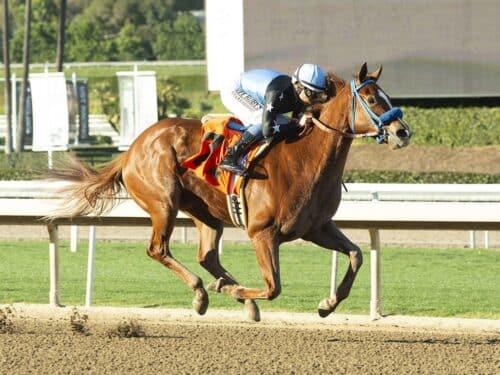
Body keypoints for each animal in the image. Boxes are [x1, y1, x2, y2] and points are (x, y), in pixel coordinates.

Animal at [49, 63, 410, 322]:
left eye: (388, 97)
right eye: (373, 99)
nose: (402, 131)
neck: (305, 160)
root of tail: (132, 149)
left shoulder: (316, 227)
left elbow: (356, 254)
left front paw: (327, 303)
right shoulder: (263, 232)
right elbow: (273, 287)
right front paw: (232, 291)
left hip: (206, 213)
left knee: (207, 255)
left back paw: (227, 290)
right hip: (164, 204)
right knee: (158, 249)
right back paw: (202, 292)